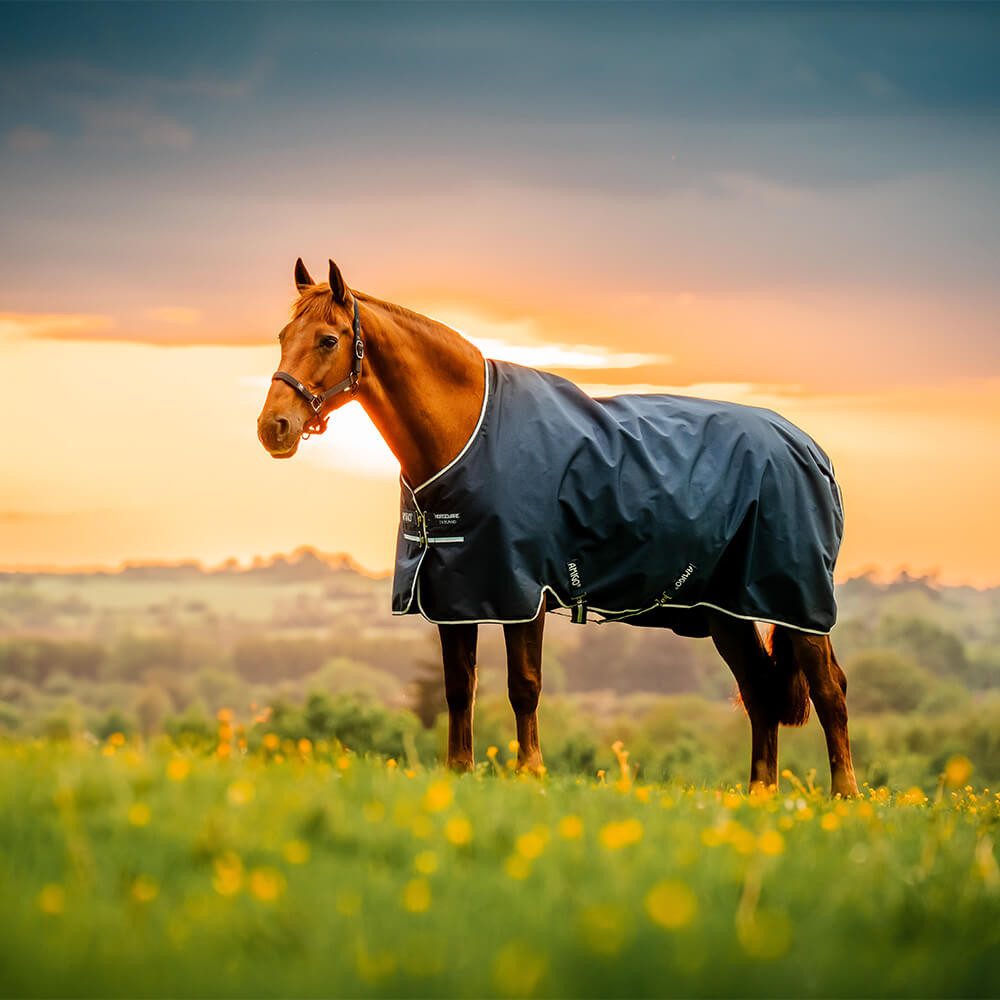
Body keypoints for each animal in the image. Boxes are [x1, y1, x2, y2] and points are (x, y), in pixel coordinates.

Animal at [257, 258, 859, 797]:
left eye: (328, 340)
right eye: (284, 335)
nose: (273, 428)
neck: (468, 433)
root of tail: (810, 450)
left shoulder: (521, 592)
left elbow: (524, 686)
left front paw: (531, 773)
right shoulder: (455, 594)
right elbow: (459, 688)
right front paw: (460, 771)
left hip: (798, 602)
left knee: (830, 690)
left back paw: (846, 797)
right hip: (724, 611)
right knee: (759, 691)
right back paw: (761, 795)